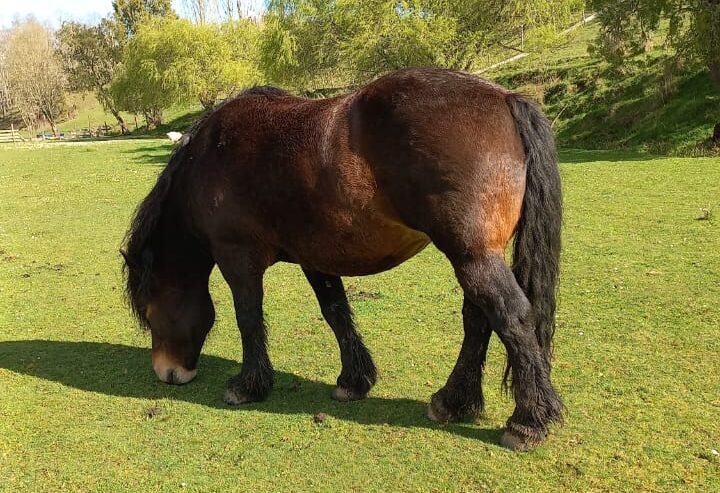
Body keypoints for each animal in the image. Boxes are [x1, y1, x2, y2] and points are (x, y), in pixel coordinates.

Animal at [122, 68, 564, 450]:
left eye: (149, 311)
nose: (167, 372)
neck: (211, 157)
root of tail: (504, 98)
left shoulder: (237, 259)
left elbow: (248, 319)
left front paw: (248, 385)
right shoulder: (315, 257)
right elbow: (335, 311)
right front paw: (354, 380)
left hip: (472, 256)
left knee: (511, 317)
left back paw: (527, 422)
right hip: (473, 256)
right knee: (478, 320)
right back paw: (453, 401)